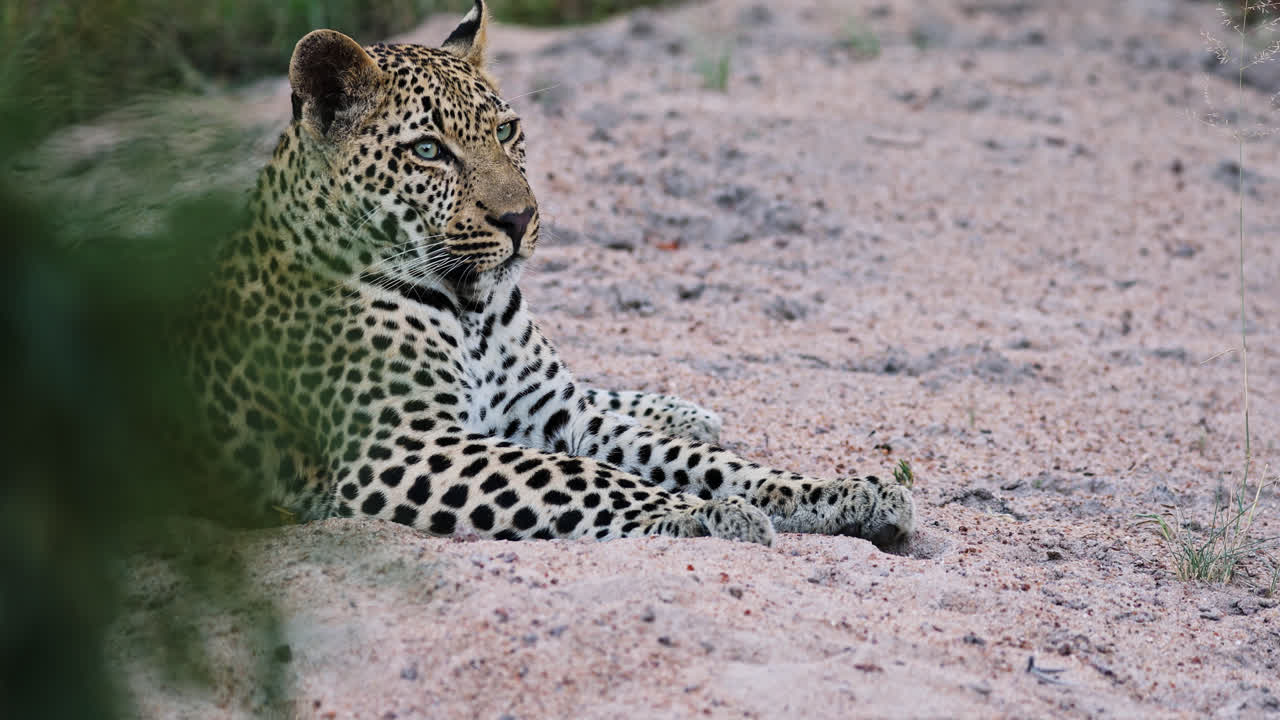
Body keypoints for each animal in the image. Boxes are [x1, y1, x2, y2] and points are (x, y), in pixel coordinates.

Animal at [186, 0, 915, 549]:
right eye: (428, 151)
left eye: (507, 131)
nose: (519, 218)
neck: (473, 309)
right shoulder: (400, 446)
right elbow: (581, 478)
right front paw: (701, 514)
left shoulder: (554, 412)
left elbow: (696, 462)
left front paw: (845, 490)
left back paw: (684, 411)